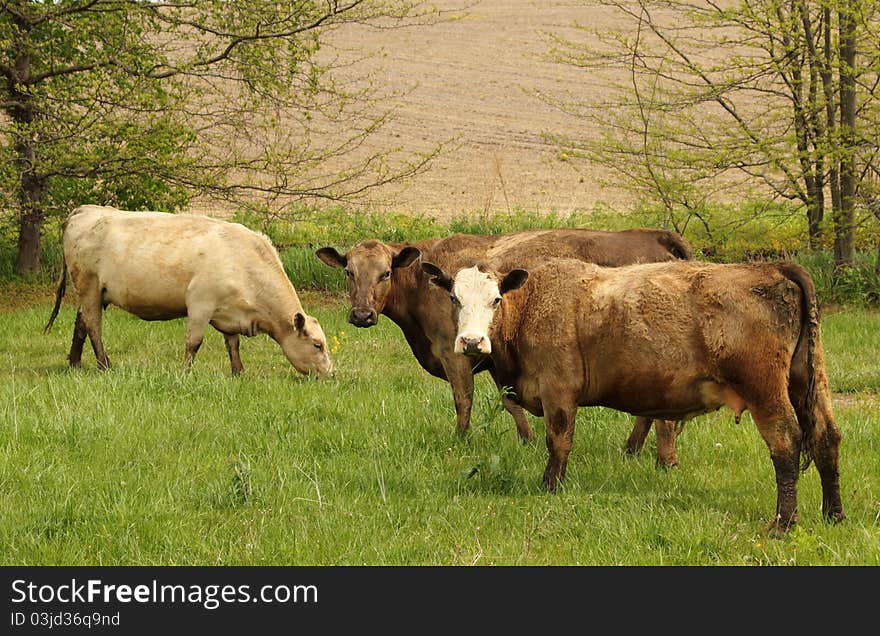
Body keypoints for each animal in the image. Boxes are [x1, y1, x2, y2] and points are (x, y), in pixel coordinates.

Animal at [44, 205, 336, 378]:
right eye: (317, 344)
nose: (332, 373)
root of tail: (87, 209)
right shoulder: (200, 304)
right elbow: (193, 342)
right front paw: (185, 373)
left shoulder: (229, 312)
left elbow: (233, 344)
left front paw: (238, 373)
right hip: (89, 286)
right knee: (93, 326)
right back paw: (105, 365)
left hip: (96, 292)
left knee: (81, 324)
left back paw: (75, 364)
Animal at [316, 227, 696, 462]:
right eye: (349, 272)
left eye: (385, 273)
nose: (362, 315)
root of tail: (653, 234)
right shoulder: (498, 360)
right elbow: (510, 401)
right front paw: (527, 440)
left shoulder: (456, 354)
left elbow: (464, 401)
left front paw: (461, 440)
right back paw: (631, 450)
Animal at [424, 256, 844, 536]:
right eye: (454, 299)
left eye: (495, 299)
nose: (472, 342)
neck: (533, 304)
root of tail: (771, 268)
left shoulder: (558, 388)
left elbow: (558, 441)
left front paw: (550, 488)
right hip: (809, 381)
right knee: (826, 438)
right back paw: (833, 514)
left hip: (764, 390)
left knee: (786, 444)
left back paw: (784, 523)